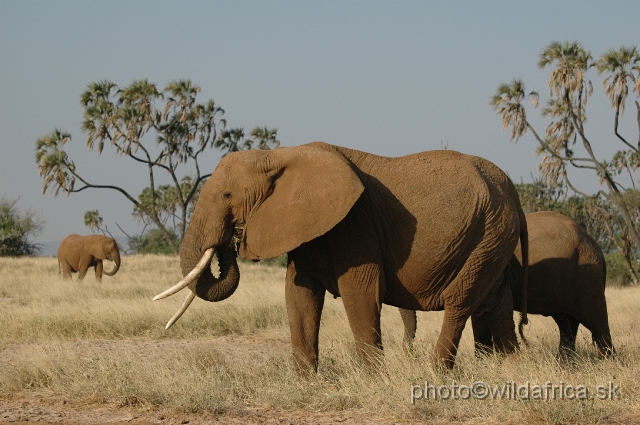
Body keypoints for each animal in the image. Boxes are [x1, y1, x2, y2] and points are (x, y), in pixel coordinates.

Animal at [152, 142, 528, 372]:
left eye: (228, 195)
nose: (232, 239)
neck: (277, 155)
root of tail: (512, 189)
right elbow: (299, 295)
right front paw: (306, 382)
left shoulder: (355, 225)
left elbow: (360, 293)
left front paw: (374, 380)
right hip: (492, 239)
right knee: (497, 303)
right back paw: (509, 370)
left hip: (490, 232)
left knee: (460, 303)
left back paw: (435, 374)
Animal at [400, 210, 616, 356]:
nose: (409, 353)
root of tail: (597, 247)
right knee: (566, 323)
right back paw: (563, 363)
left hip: (588, 277)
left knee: (596, 322)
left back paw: (608, 362)